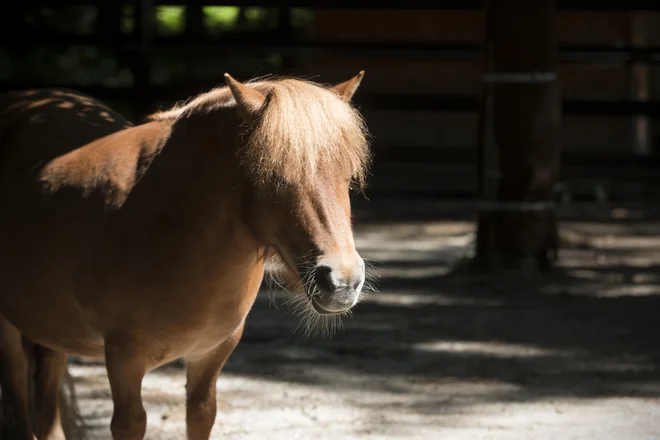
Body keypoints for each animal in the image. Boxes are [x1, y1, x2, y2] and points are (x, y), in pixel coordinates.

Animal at [0, 70, 372, 438]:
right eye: (275, 177)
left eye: (349, 178)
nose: (342, 282)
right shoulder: (123, 359)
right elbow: (130, 422)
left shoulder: (209, 355)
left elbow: (201, 413)